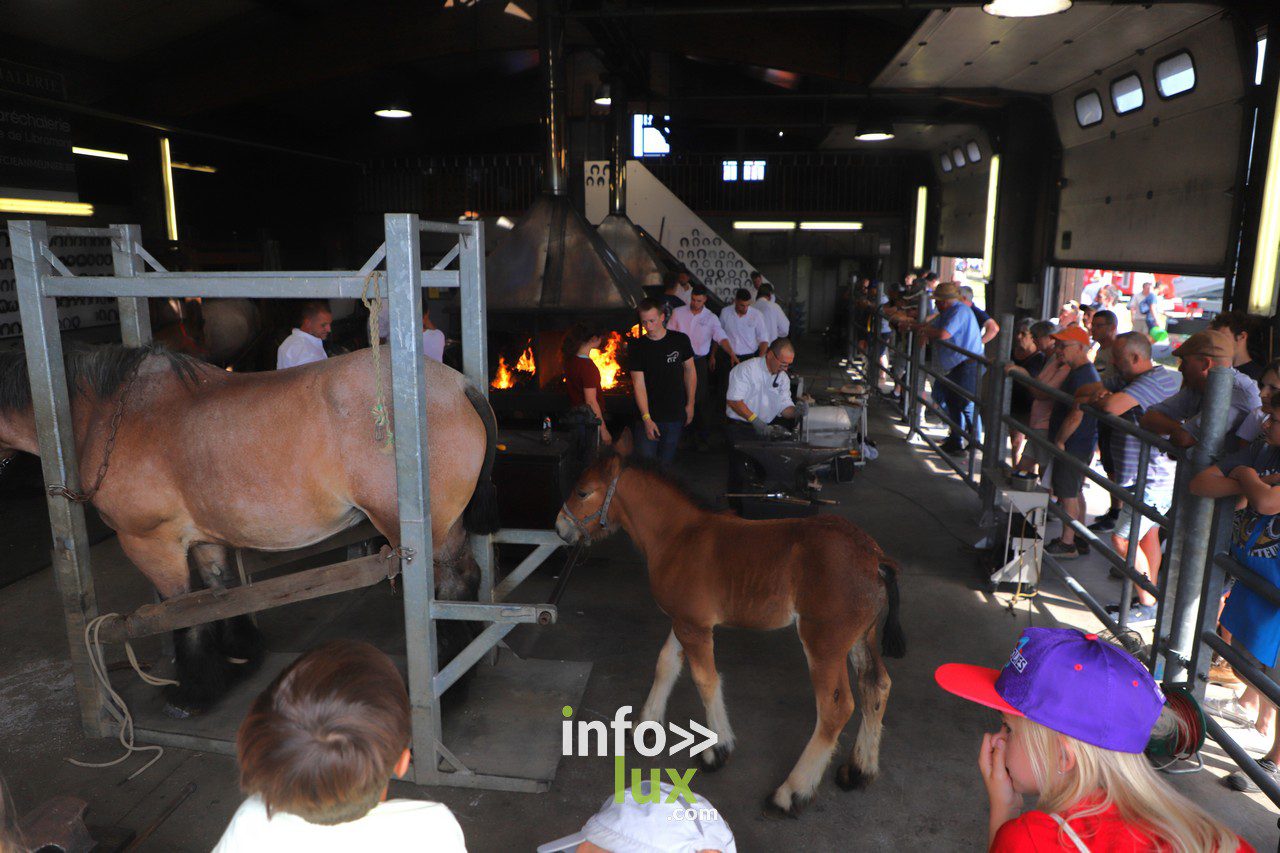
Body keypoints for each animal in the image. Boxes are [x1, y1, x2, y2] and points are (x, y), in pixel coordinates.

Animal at [0, 343, 496, 712]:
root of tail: (459, 385)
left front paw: (192, 692)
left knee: (444, 592)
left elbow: (182, 613)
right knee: (463, 581)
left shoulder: (151, 543)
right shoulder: (204, 538)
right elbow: (219, 597)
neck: (111, 415)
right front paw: (240, 656)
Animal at [555, 435, 906, 814]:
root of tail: (875, 558)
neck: (677, 535)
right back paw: (859, 770)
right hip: (861, 636)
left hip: (824, 642)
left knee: (835, 708)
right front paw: (645, 726)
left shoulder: (695, 627)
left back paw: (791, 791)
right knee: (876, 687)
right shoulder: (684, 619)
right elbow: (665, 664)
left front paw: (717, 750)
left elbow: (705, 679)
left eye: (583, 492)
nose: (560, 528)